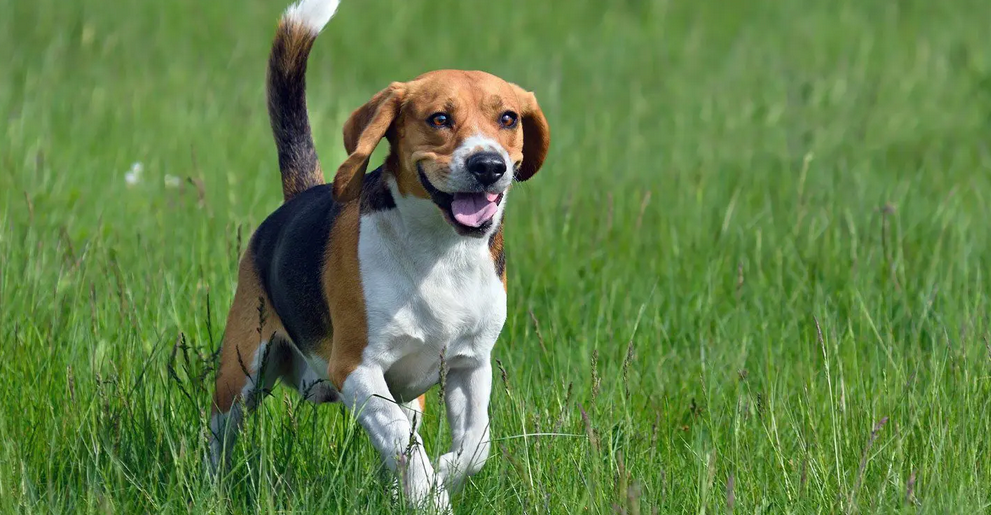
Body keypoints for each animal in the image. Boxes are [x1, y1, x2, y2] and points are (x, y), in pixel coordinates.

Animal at [209, 0, 552, 510]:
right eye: (439, 119)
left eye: (508, 118)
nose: (488, 165)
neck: (441, 251)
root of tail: (300, 195)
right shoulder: (357, 369)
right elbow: (404, 444)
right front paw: (432, 495)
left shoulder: (471, 364)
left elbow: (475, 445)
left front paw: (442, 475)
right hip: (241, 370)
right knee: (219, 437)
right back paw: (209, 488)